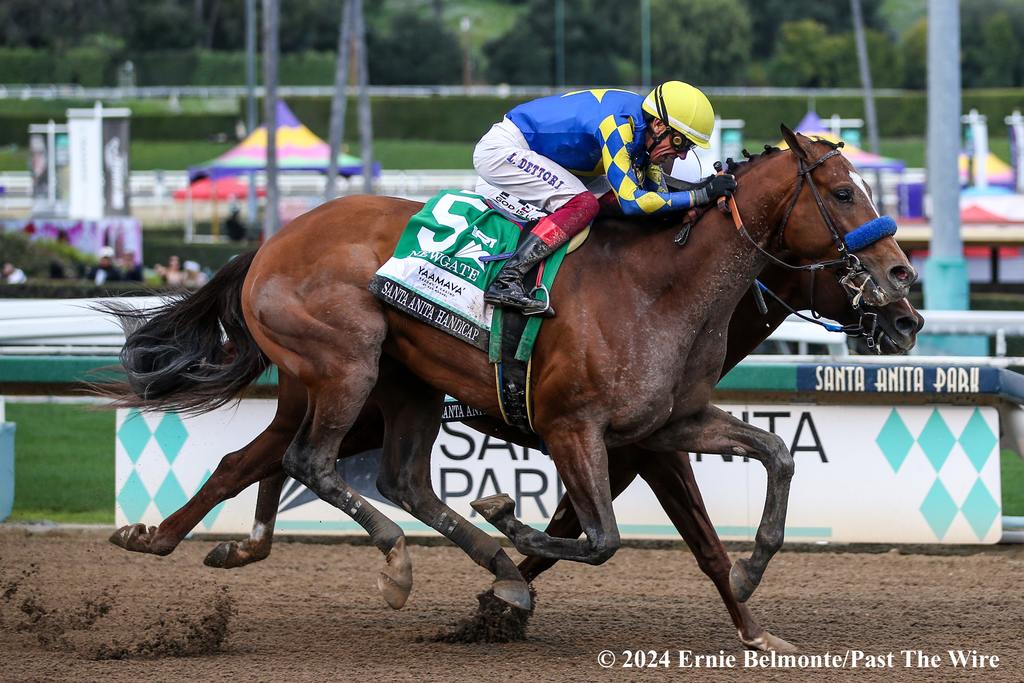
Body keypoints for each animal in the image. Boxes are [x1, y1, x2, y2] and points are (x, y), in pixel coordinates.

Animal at [105, 131, 921, 651]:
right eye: (843, 191)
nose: (906, 295)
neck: (662, 289)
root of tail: (272, 242)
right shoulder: (583, 432)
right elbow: (598, 538)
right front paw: (501, 556)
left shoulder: (665, 426)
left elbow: (770, 461)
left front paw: (754, 616)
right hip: (346, 367)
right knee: (297, 462)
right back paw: (375, 559)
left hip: (396, 389)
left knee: (334, 470)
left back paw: (204, 542)